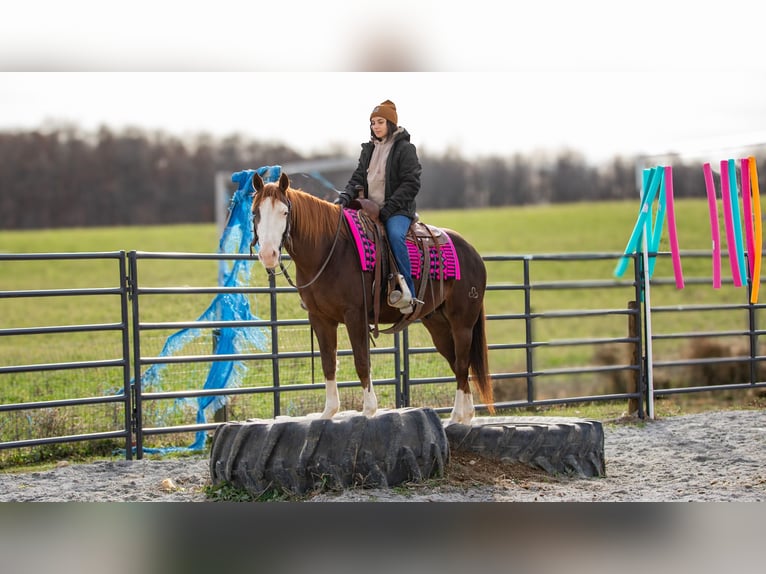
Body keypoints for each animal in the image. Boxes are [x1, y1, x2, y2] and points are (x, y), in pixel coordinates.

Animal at [249, 173, 496, 426]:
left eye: (284, 212)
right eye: (255, 212)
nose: (268, 254)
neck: (328, 251)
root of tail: (472, 253)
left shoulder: (355, 315)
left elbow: (361, 360)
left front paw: (368, 410)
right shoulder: (320, 318)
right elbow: (329, 363)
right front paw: (328, 412)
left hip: (462, 323)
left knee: (463, 362)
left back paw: (457, 415)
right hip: (437, 323)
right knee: (457, 363)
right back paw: (463, 416)